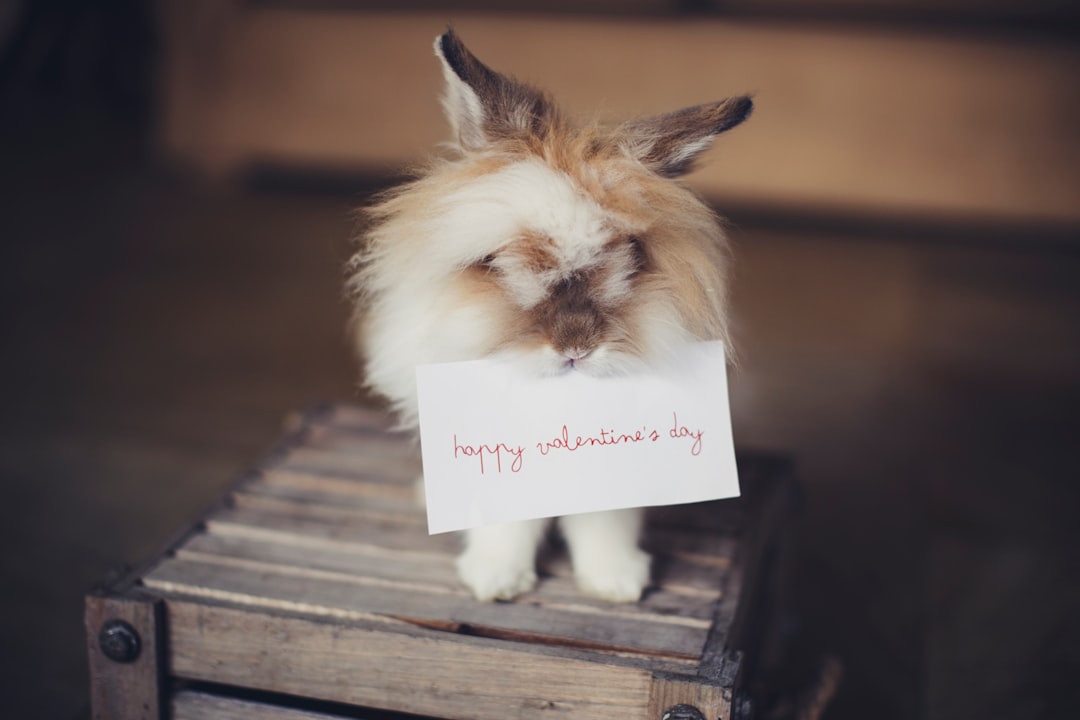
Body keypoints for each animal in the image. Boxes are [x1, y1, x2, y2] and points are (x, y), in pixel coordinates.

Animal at [345, 28, 751, 604]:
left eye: (631, 258)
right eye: (498, 263)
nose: (575, 347)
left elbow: (605, 519)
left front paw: (616, 582)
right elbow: (507, 520)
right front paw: (495, 581)